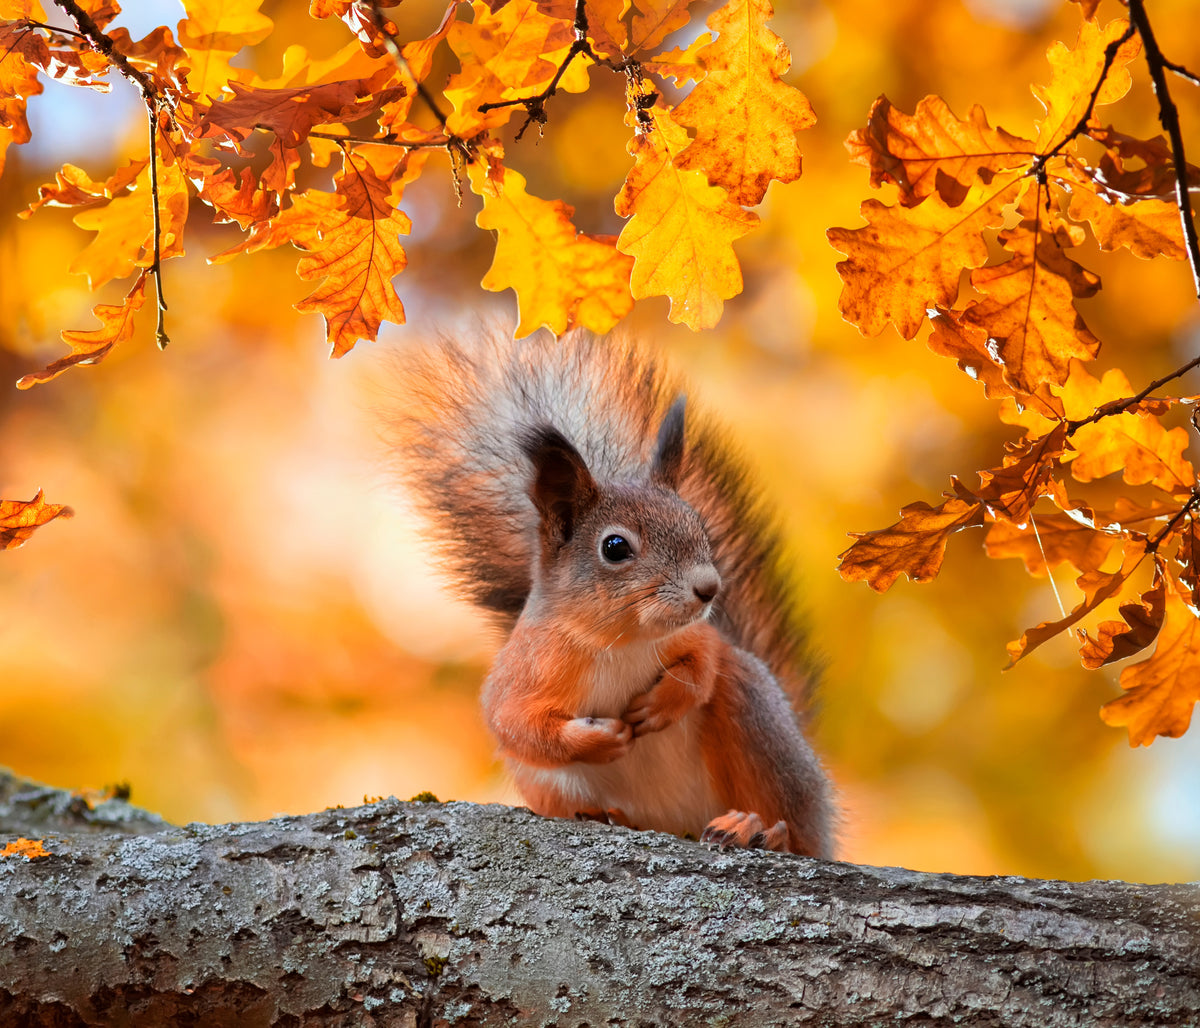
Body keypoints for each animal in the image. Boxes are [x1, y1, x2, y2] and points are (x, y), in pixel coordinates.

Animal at [391, 331, 834, 858]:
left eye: (699, 526)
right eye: (615, 547)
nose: (709, 589)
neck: (619, 642)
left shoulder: (696, 636)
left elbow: (706, 660)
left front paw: (664, 702)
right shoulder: (519, 675)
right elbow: (518, 727)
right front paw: (601, 739)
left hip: (758, 720)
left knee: (794, 823)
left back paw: (761, 830)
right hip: (549, 786)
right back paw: (611, 816)